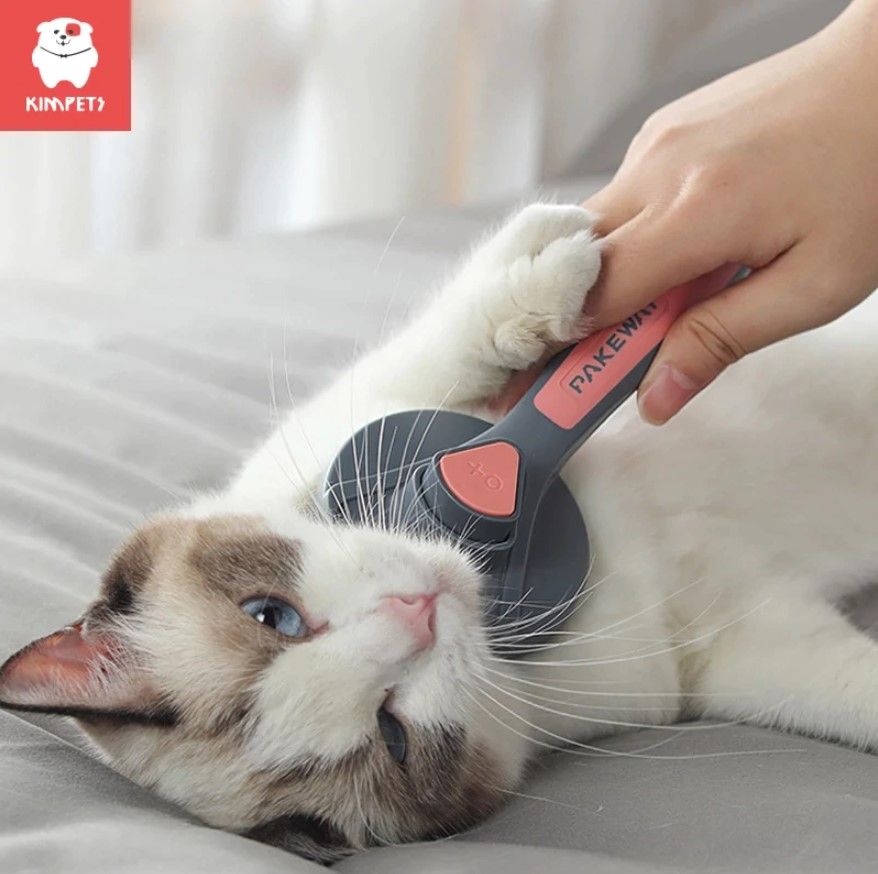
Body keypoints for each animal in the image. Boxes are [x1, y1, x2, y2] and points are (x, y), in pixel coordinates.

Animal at [1, 204, 877, 864]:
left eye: (272, 616)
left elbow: (461, 342)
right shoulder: (729, 651)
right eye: (391, 733)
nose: (417, 611)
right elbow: (850, 690)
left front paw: (562, 252)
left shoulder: (368, 409)